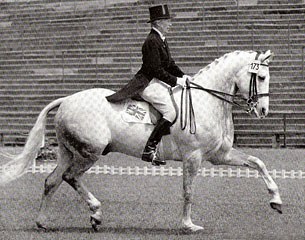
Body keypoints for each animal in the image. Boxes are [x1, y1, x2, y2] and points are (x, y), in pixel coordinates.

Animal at [0, 50, 282, 232]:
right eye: (262, 77)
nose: (263, 111)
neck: (207, 101)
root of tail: (66, 99)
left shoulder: (219, 155)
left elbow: (257, 162)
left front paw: (276, 201)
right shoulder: (193, 157)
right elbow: (188, 191)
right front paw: (188, 225)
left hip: (68, 152)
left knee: (52, 181)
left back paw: (43, 222)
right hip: (90, 152)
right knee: (70, 177)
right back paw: (96, 213)